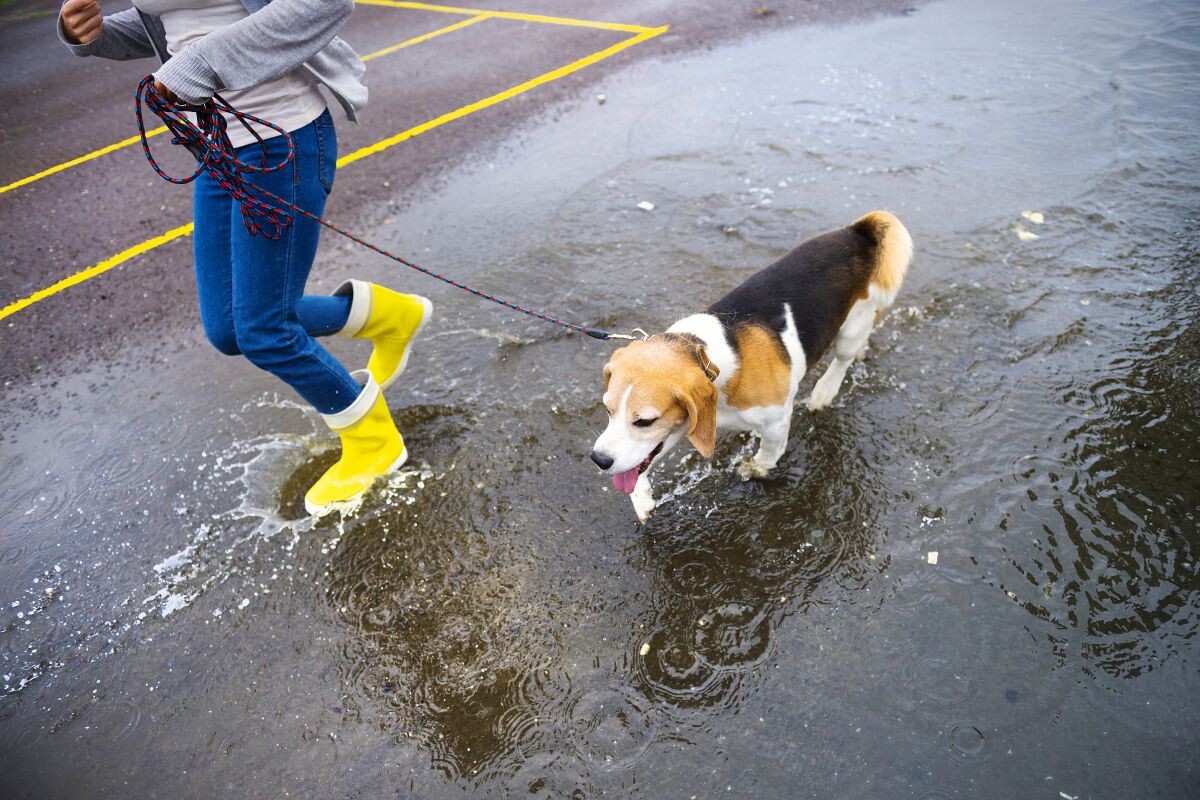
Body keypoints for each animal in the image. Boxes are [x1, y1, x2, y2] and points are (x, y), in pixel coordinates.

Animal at [588, 208, 907, 520]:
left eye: (644, 421)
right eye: (608, 410)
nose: (598, 459)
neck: (709, 357)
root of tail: (856, 232)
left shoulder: (777, 420)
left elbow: (769, 452)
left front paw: (756, 467)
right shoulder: (689, 424)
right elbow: (640, 460)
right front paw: (641, 496)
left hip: (853, 326)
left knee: (842, 360)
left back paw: (824, 391)